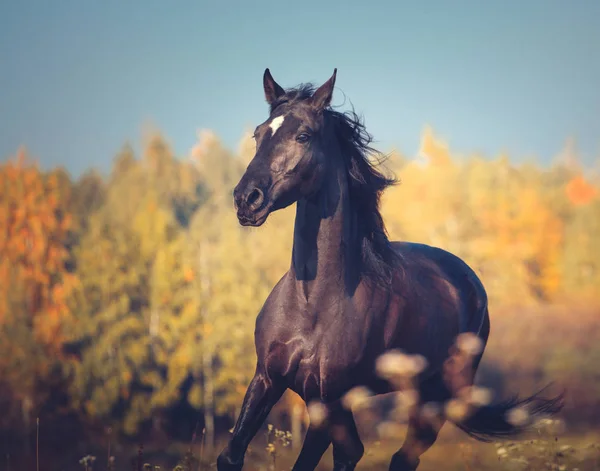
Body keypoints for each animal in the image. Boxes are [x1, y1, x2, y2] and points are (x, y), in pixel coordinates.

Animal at [219, 68, 564, 470]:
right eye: (258, 134)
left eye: (302, 135)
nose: (246, 199)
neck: (311, 303)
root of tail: (469, 282)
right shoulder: (267, 379)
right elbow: (232, 455)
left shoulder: (329, 396)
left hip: (433, 397)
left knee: (400, 455)